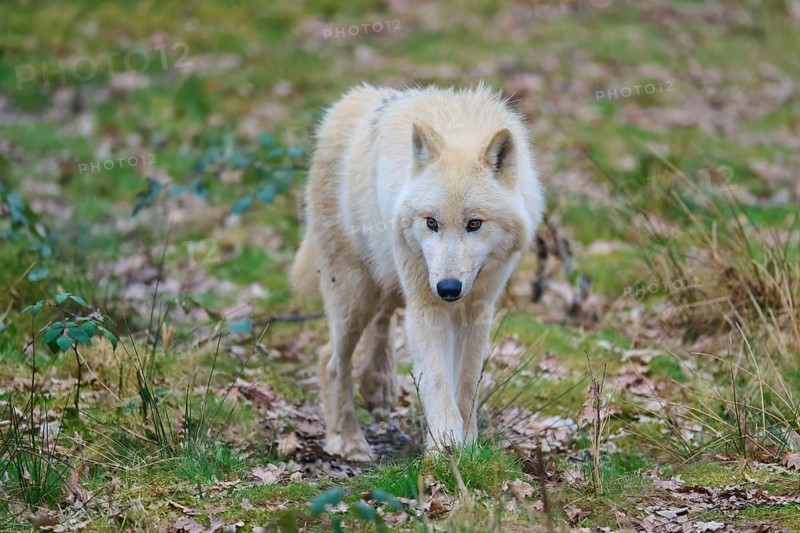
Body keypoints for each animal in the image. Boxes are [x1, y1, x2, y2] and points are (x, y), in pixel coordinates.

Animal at [290, 84, 545, 460]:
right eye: (431, 222)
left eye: (474, 224)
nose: (448, 288)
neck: (460, 126)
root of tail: (347, 102)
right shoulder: (427, 307)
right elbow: (438, 382)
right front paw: (444, 449)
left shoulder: (478, 309)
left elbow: (466, 384)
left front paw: (468, 447)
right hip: (354, 293)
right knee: (331, 360)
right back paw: (347, 440)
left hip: (387, 285)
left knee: (380, 322)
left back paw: (378, 386)